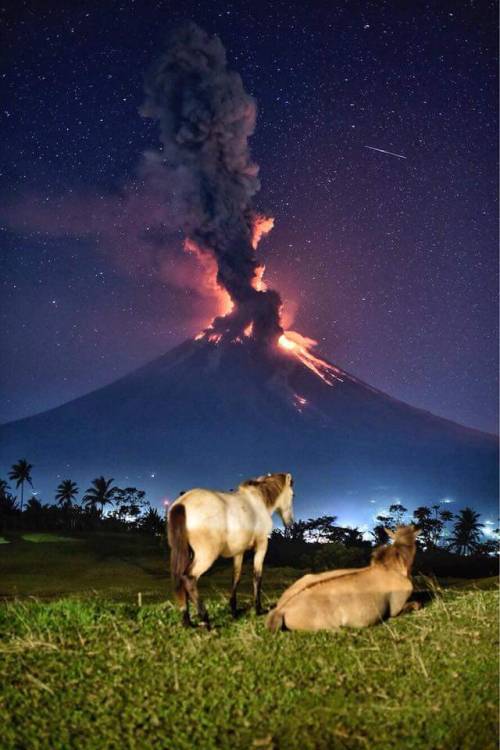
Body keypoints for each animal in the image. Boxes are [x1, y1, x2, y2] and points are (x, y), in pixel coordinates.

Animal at [168, 476, 294, 628]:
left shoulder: (239, 552)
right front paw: (258, 609)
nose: (290, 522)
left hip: (186, 553)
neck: (257, 500)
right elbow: (257, 577)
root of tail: (182, 503)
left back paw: (187, 621)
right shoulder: (262, 546)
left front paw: (234, 610)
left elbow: (236, 577)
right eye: (293, 495)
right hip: (206, 555)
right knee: (188, 578)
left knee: (180, 579)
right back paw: (205, 620)